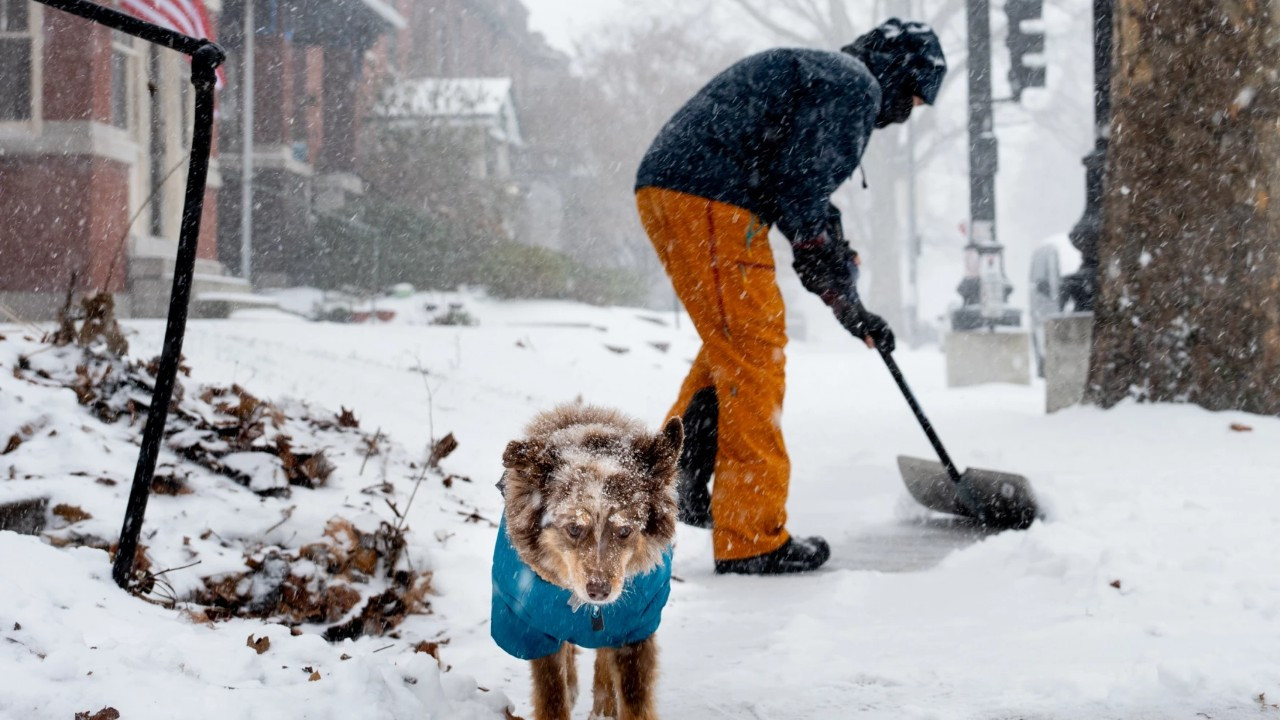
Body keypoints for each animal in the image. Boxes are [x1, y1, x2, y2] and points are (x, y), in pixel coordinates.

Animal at [488, 404, 686, 717]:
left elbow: (635, 699)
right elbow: (552, 696)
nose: (599, 591)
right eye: (573, 528)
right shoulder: (534, 625)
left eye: (625, 530)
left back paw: (604, 704)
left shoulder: (636, 627)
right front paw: (564, 692)